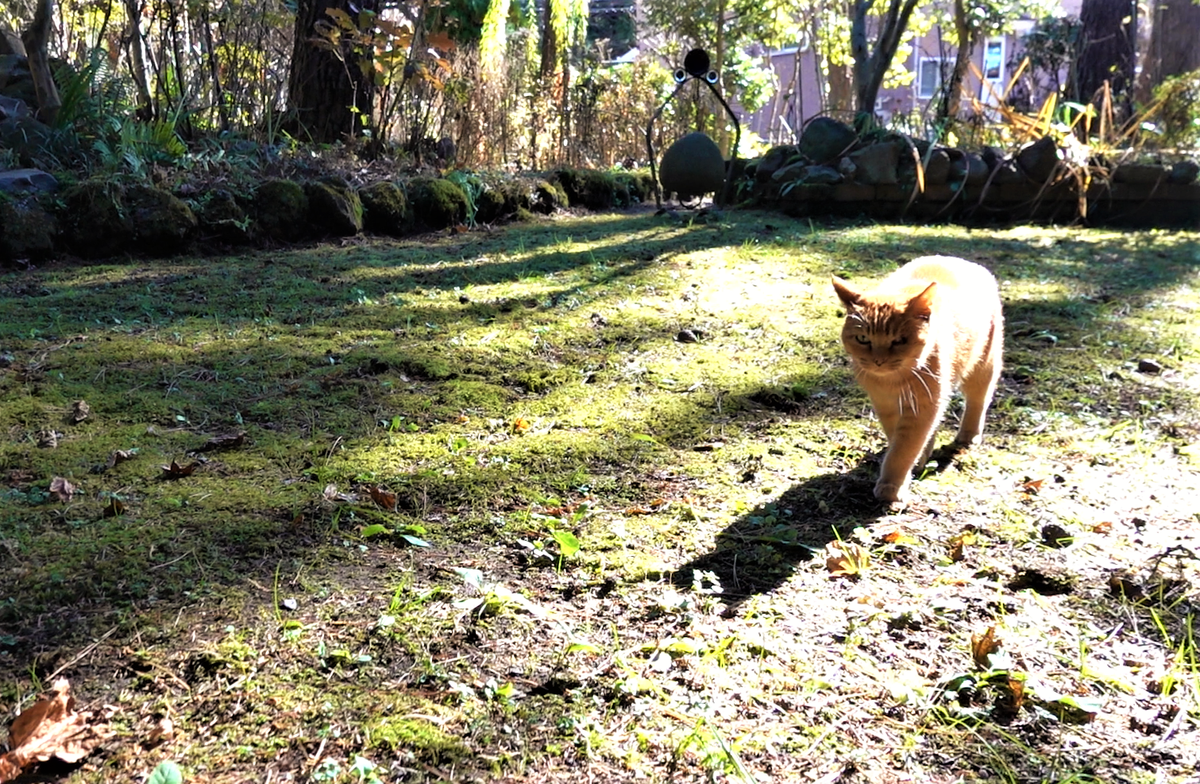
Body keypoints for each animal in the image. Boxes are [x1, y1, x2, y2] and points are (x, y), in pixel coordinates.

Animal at [835, 256, 1003, 501]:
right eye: (863, 339)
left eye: (899, 341)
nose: (878, 361)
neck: (892, 382)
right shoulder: (886, 406)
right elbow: (900, 440)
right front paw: (914, 462)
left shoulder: (922, 406)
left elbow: (903, 450)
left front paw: (892, 485)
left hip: (984, 365)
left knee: (978, 401)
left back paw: (969, 435)